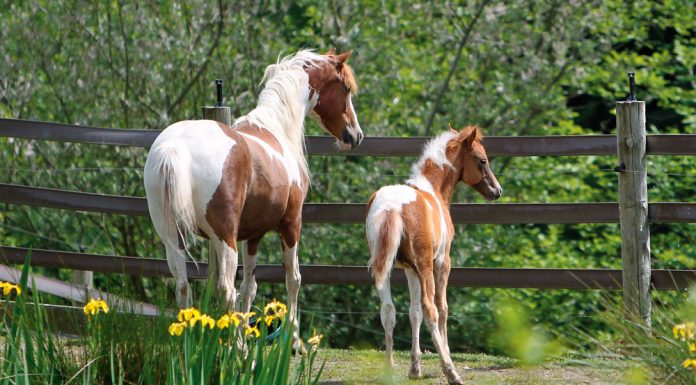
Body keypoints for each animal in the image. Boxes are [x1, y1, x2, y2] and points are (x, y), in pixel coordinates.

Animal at [145, 48, 364, 344]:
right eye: (346, 89)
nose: (355, 135)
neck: (274, 129)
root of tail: (175, 147)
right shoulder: (291, 224)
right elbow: (292, 278)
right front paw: (293, 339)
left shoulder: (253, 235)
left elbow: (250, 287)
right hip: (225, 239)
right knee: (225, 289)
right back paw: (236, 348)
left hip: (171, 236)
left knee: (182, 284)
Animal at [364, 126, 500, 384]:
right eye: (482, 160)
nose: (497, 191)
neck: (432, 189)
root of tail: (391, 207)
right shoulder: (442, 263)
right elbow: (441, 307)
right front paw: (445, 355)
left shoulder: (410, 269)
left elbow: (413, 312)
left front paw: (415, 368)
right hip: (427, 266)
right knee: (431, 310)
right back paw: (451, 372)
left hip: (384, 268)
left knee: (388, 310)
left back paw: (389, 369)